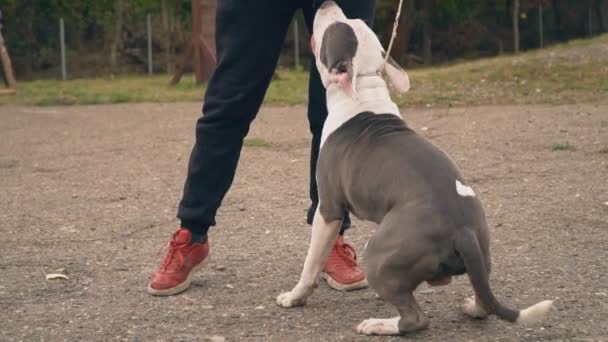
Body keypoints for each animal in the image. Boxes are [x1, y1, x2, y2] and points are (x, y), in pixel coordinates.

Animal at [278, 0, 552, 336]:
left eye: (333, 29)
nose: (328, 4)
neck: (363, 89)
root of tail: (461, 229)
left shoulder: (328, 207)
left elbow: (311, 261)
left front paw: (294, 297)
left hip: (381, 252)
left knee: (416, 319)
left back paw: (379, 324)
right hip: (483, 247)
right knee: (483, 298)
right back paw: (470, 307)